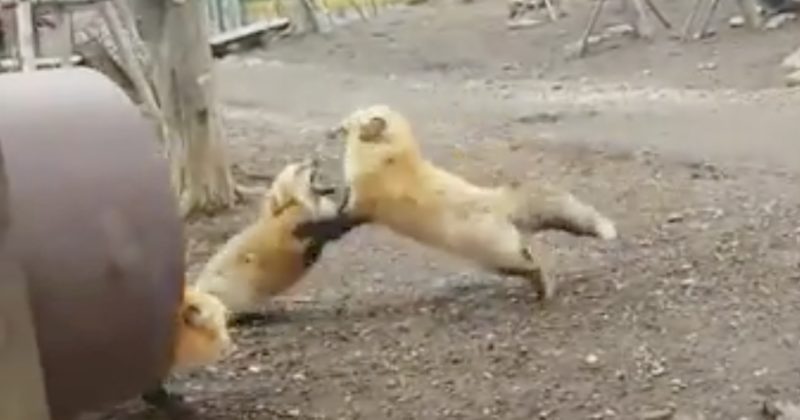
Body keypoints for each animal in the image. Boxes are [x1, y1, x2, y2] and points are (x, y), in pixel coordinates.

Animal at [321, 104, 618, 300]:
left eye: (350, 121)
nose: (330, 129)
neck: (388, 160)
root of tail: (501, 202)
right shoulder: (354, 197)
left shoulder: (362, 206)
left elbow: (338, 222)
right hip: (507, 255)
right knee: (538, 261)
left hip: (501, 259)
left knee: (535, 267)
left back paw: (544, 291)